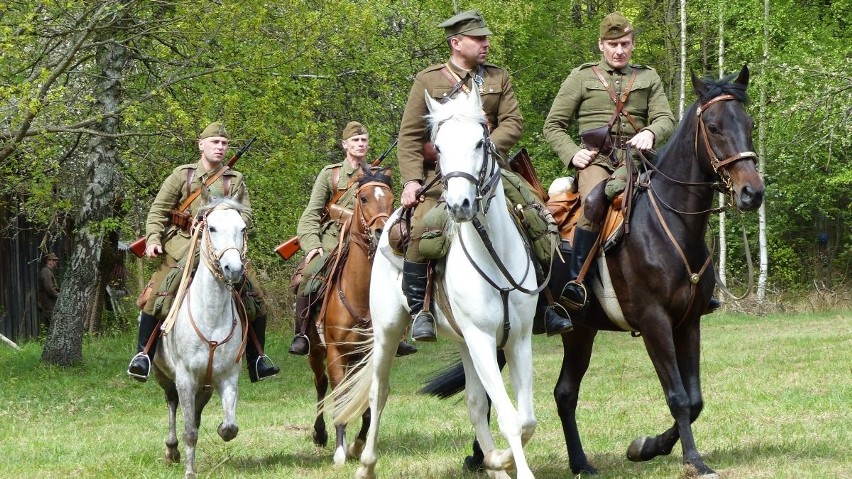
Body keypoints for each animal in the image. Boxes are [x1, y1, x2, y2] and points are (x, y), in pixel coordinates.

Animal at [152, 197, 248, 478]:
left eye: (243, 228)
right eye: (212, 228)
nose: (233, 269)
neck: (211, 317)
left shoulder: (227, 377)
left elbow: (230, 427)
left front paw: (221, 430)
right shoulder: (185, 379)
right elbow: (190, 431)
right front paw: (189, 471)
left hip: (204, 386)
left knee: (195, 411)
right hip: (164, 376)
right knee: (172, 404)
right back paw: (171, 449)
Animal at [306, 167, 396, 466]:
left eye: (391, 199)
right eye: (364, 198)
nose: (381, 231)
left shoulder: (370, 354)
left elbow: (368, 398)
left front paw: (358, 444)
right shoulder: (336, 353)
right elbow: (341, 395)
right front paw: (339, 450)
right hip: (315, 351)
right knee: (321, 385)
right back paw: (320, 434)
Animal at [334, 87, 540, 479]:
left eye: (479, 142)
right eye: (439, 147)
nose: (459, 204)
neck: (495, 254)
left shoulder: (517, 340)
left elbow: (525, 420)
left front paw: (499, 460)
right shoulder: (481, 338)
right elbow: (509, 417)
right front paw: (510, 464)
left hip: (463, 342)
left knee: (475, 404)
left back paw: (494, 465)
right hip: (388, 331)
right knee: (378, 392)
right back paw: (365, 464)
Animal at [422, 64, 764, 479]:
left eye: (748, 123)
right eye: (713, 126)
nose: (752, 193)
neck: (669, 222)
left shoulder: (688, 322)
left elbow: (695, 398)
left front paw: (648, 448)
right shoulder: (655, 322)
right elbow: (679, 396)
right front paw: (690, 460)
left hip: (576, 332)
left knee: (563, 393)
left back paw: (577, 462)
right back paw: (488, 457)